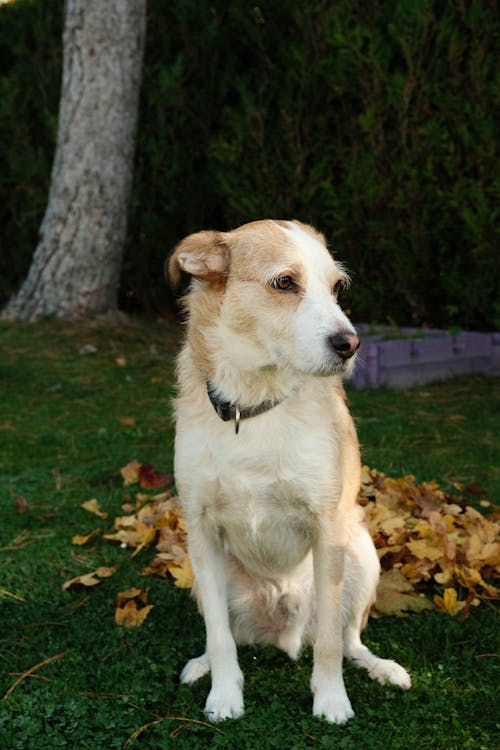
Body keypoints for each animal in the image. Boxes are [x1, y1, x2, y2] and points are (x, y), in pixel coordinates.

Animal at [168, 220, 410, 724]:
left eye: (337, 288)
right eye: (284, 282)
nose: (350, 344)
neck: (253, 406)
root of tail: (283, 629)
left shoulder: (327, 527)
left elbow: (330, 646)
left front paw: (331, 700)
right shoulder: (200, 529)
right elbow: (220, 636)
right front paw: (224, 695)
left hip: (361, 555)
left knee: (347, 639)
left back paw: (382, 668)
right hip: (202, 574)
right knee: (227, 635)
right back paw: (203, 664)